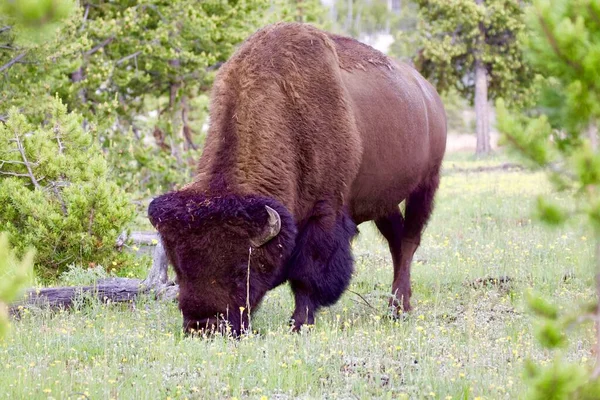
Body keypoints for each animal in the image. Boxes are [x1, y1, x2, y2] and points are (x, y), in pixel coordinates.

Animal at [148, 21, 446, 334]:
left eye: (243, 268)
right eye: (179, 267)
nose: (204, 325)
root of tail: (428, 93)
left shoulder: (325, 214)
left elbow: (307, 275)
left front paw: (299, 323)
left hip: (426, 185)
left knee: (410, 241)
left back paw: (398, 309)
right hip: (384, 202)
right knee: (396, 241)